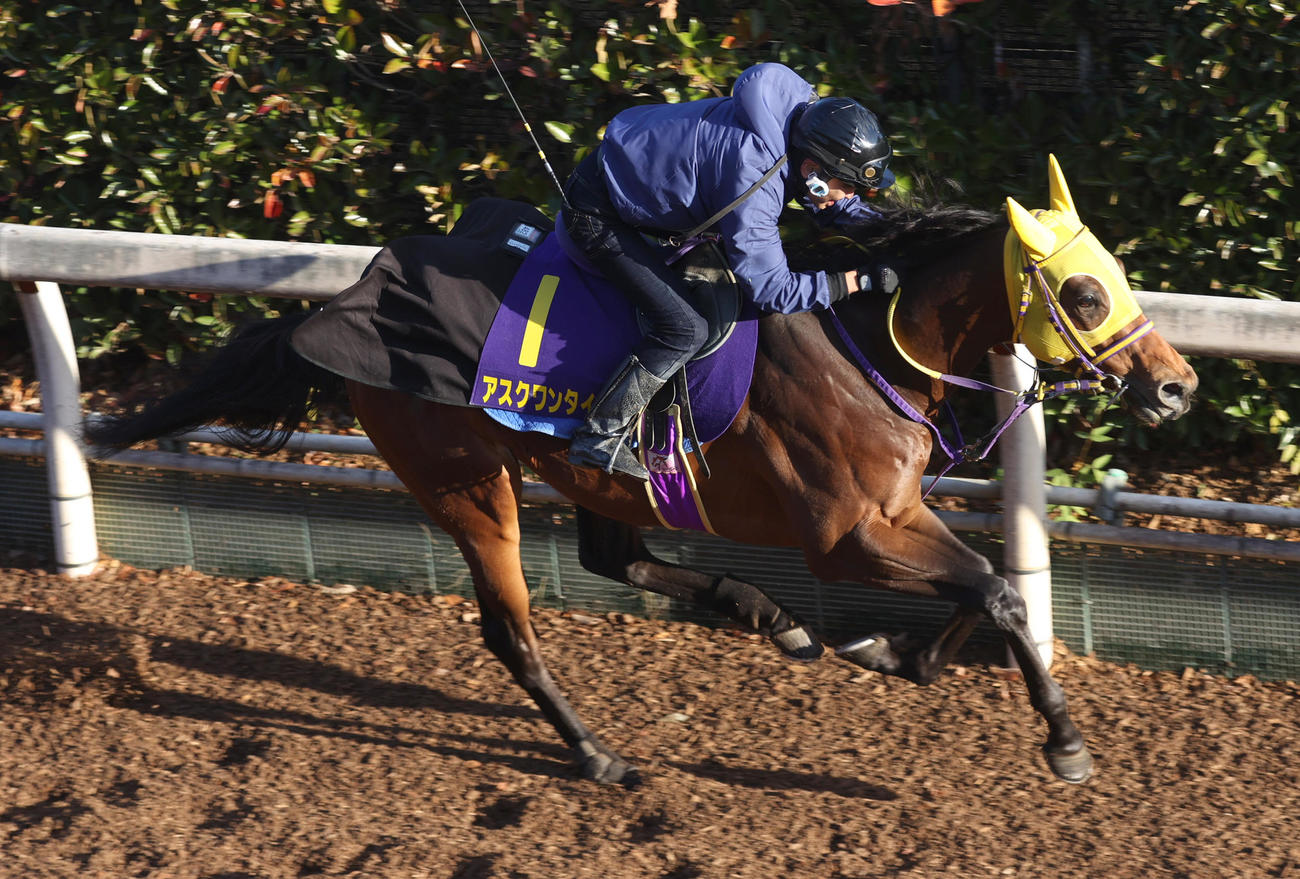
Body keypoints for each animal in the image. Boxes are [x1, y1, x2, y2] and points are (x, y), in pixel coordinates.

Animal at [86, 156, 1197, 787]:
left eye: (1116, 274)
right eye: (1086, 292)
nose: (1178, 386)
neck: (864, 345)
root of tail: (340, 301)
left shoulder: (894, 512)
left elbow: (989, 585)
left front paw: (892, 653)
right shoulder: (842, 536)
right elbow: (993, 590)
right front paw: (1062, 744)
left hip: (590, 472)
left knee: (616, 558)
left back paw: (768, 617)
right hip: (464, 482)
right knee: (512, 630)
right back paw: (598, 754)